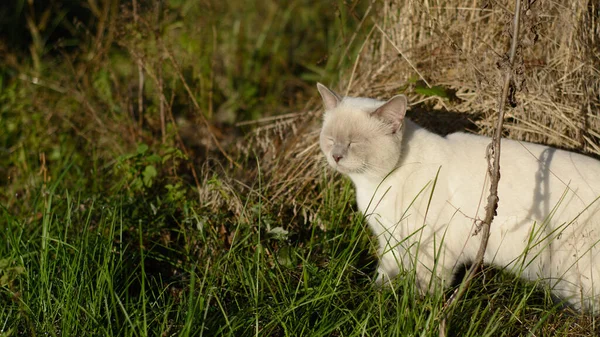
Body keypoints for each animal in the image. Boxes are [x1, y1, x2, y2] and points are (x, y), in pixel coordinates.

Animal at [316, 82, 600, 312]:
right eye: (330, 139)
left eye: (354, 143)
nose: (336, 156)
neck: (373, 185)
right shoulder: (391, 241)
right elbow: (384, 275)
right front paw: (377, 296)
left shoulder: (435, 248)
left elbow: (425, 291)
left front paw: (416, 310)